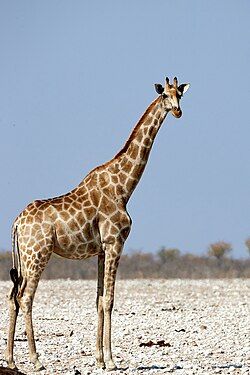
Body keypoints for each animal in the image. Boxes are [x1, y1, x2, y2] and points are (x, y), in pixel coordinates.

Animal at [5, 75, 189, 370]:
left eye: (179, 95)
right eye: (165, 96)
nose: (177, 111)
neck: (124, 187)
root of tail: (16, 223)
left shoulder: (102, 249)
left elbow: (98, 299)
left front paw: (99, 358)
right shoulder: (115, 242)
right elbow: (110, 299)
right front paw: (112, 360)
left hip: (23, 257)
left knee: (12, 296)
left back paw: (11, 360)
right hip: (38, 254)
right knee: (25, 297)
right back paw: (35, 360)